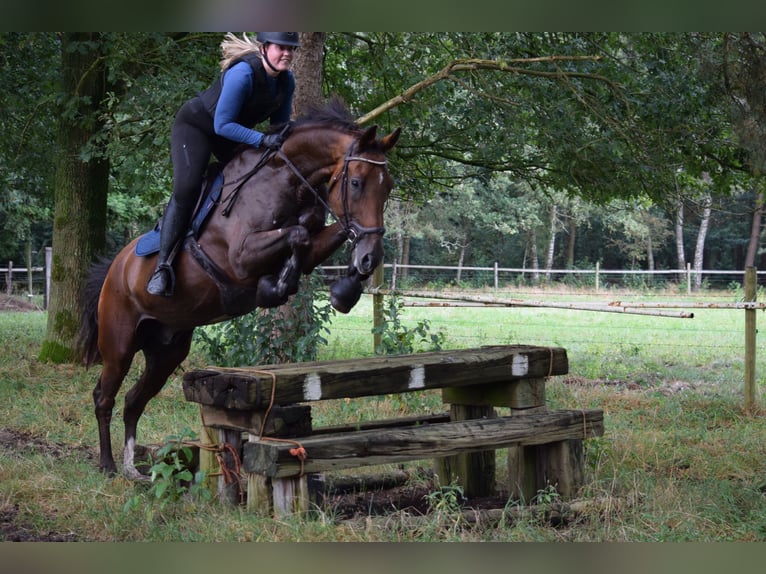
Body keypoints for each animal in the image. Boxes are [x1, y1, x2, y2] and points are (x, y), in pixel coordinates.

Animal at [77, 99, 401, 479]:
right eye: (356, 183)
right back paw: (108, 464)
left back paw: (133, 468)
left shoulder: (314, 243)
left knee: (133, 401)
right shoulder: (240, 258)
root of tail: (115, 269)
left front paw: (344, 289)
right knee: (104, 397)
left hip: (166, 351)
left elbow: (319, 235)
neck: (284, 180)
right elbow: (298, 236)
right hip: (120, 344)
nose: (370, 258)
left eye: (387, 187)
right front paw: (276, 286)